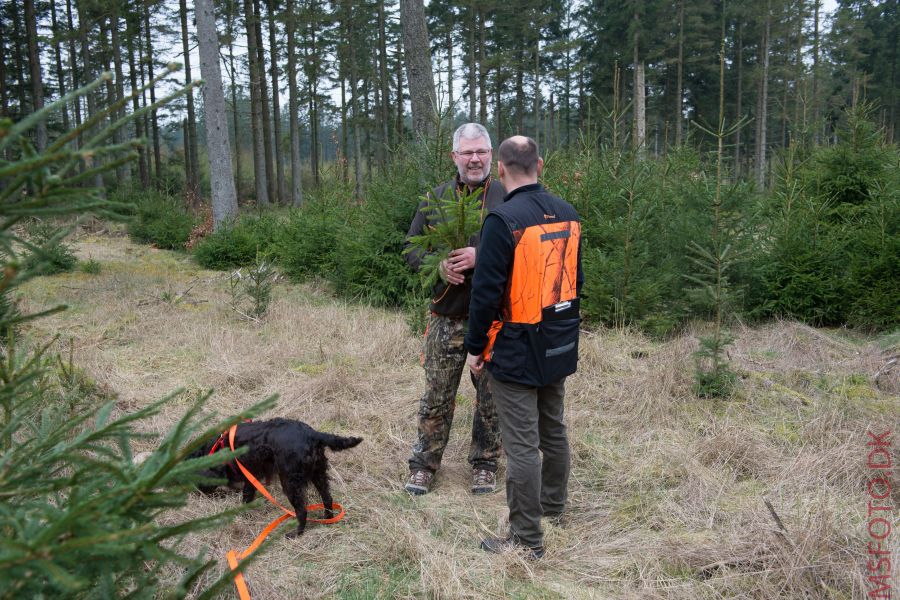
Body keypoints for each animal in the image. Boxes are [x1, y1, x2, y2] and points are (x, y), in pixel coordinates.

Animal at [190, 418, 362, 540]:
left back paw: (296, 533)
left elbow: (245, 497)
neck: (219, 447)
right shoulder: (251, 477)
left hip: (290, 482)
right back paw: (327, 519)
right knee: (327, 498)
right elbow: (248, 495)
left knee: (302, 510)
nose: (195, 492)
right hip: (318, 473)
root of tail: (313, 434)